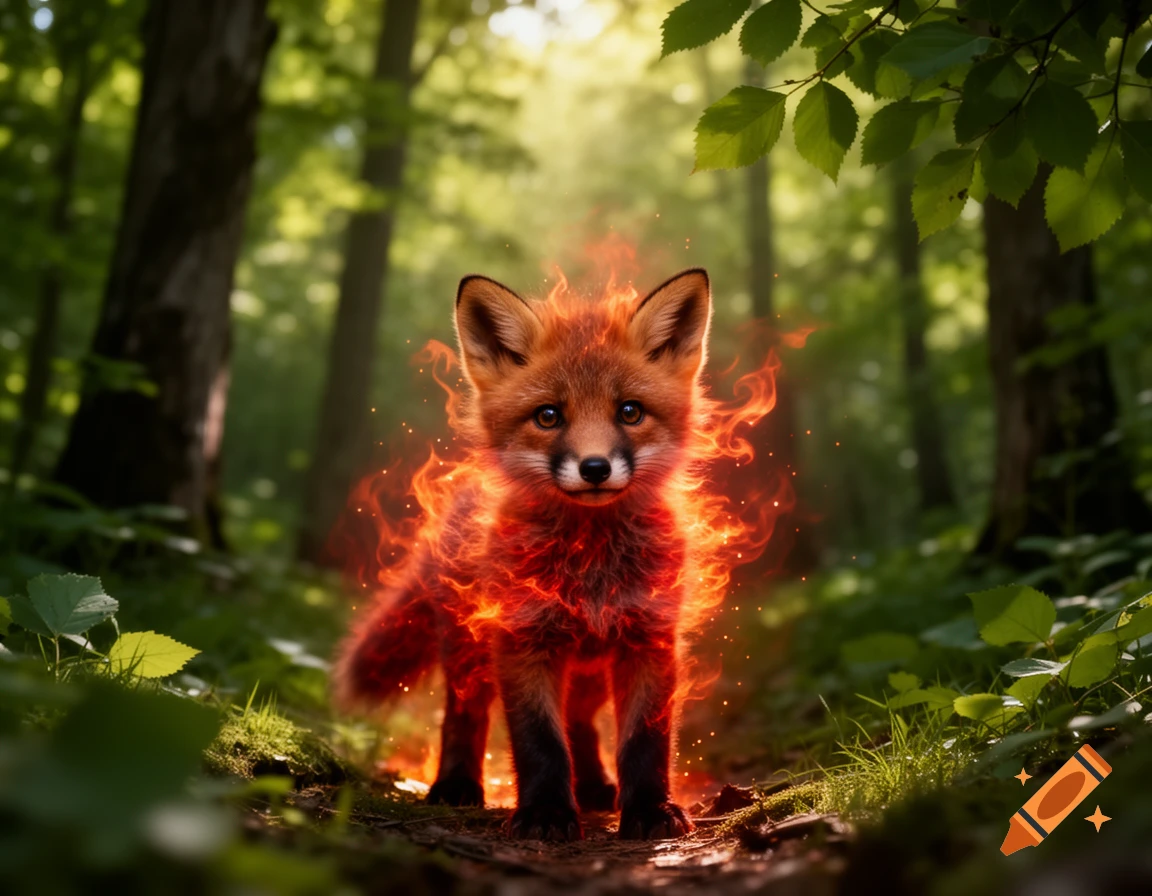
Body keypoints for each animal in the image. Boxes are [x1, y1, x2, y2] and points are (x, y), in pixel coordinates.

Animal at [334, 267, 714, 841]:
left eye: (630, 411)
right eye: (548, 416)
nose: (595, 467)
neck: (589, 565)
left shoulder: (649, 639)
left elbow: (643, 742)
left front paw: (649, 809)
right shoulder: (522, 641)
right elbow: (540, 742)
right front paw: (545, 814)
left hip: (588, 671)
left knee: (580, 723)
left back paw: (595, 787)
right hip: (470, 653)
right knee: (465, 717)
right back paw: (456, 786)